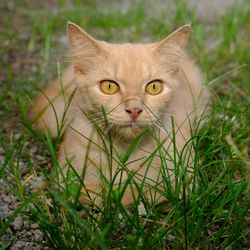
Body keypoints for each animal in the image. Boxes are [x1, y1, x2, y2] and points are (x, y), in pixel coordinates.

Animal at [29, 21, 209, 205]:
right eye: (109, 86)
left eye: (154, 87)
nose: (134, 110)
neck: (124, 151)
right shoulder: (68, 176)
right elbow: (102, 193)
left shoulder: (185, 176)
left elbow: (143, 191)